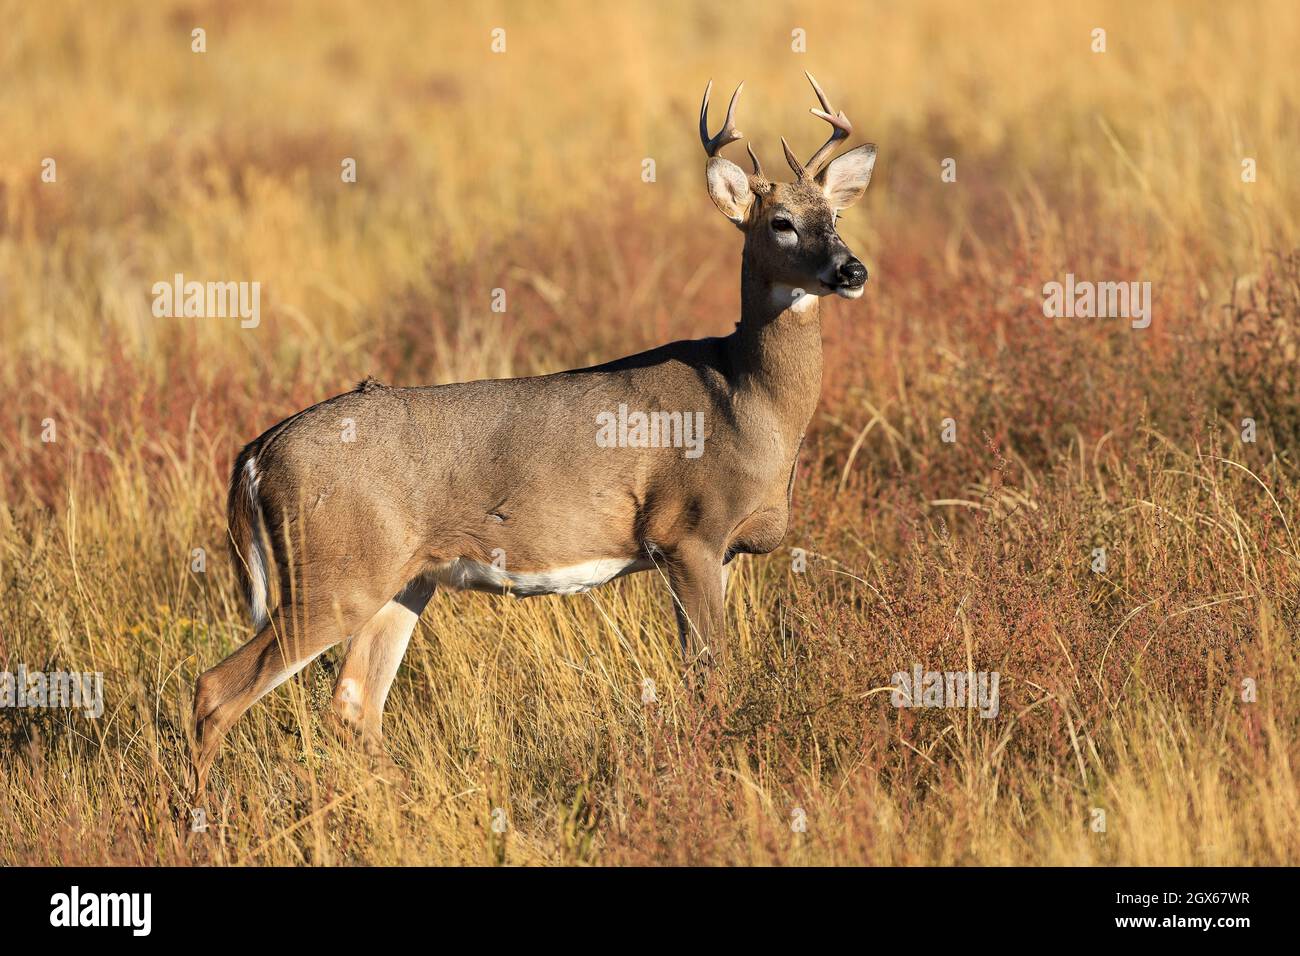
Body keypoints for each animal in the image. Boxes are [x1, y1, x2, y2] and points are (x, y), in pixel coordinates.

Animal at [192, 72, 878, 790]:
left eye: (836, 218)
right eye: (780, 222)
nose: (851, 270)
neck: (745, 400)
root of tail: (257, 452)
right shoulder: (687, 533)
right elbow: (707, 677)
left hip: (403, 579)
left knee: (353, 703)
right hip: (334, 573)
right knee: (216, 688)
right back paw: (201, 809)